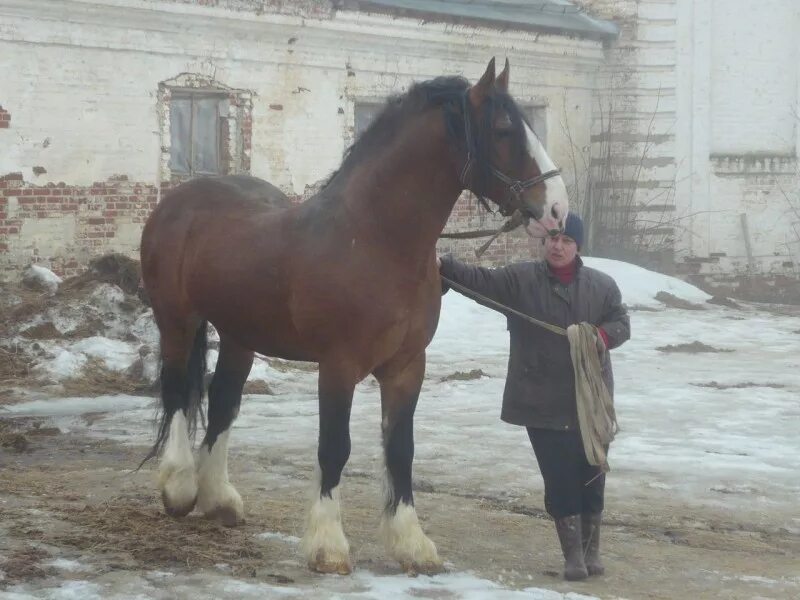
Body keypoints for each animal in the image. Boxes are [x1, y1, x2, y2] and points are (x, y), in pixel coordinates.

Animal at [141, 58, 572, 576]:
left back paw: (219, 498)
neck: (374, 241)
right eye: (505, 129)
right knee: (177, 393)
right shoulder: (338, 366)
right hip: (178, 321)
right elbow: (335, 446)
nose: (557, 209)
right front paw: (327, 546)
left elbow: (401, 451)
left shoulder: (407, 367)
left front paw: (412, 544)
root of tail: (178, 202)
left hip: (239, 335)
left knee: (223, 401)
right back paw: (179, 487)